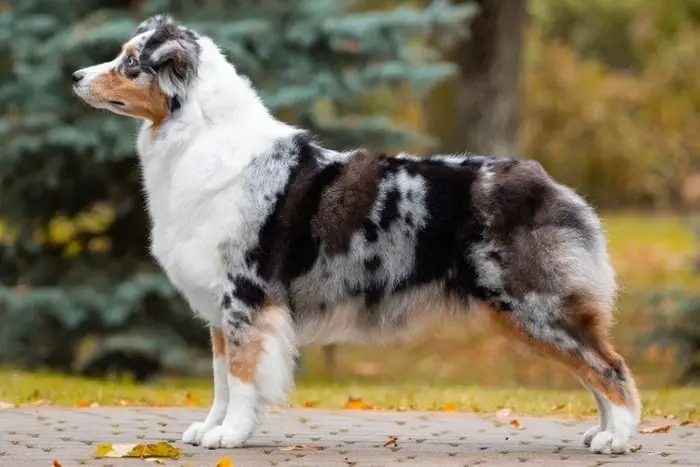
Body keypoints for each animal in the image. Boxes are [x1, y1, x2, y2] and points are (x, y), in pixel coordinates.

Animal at [72, 13, 640, 454]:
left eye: (130, 63)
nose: (75, 75)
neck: (195, 136)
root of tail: (547, 181)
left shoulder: (246, 297)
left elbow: (241, 375)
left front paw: (230, 436)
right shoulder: (217, 303)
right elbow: (219, 378)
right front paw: (209, 428)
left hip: (533, 302)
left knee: (609, 366)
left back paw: (619, 438)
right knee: (594, 366)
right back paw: (601, 434)